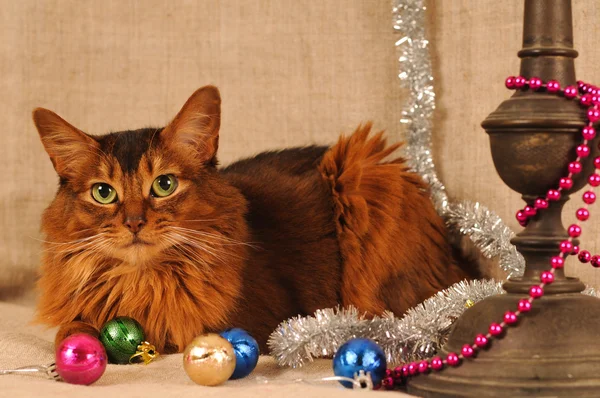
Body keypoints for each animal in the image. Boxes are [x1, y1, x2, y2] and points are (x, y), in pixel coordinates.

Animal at [35, 85, 480, 352]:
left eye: (164, 185)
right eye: (103, 192)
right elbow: (71, 331)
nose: (133, 222)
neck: (141, 281)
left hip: (362, 170)